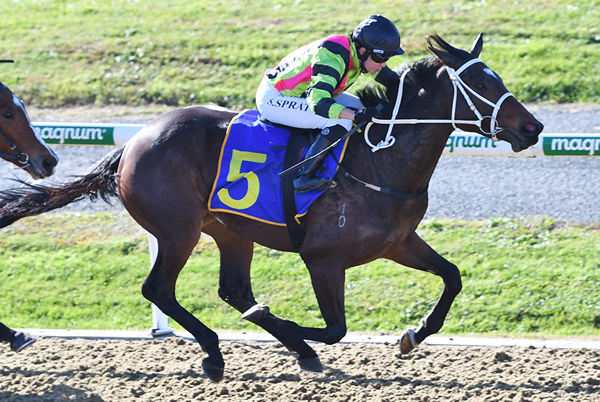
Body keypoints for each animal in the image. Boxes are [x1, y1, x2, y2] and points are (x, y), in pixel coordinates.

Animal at [0, 33, 544, 380]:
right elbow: (335, 329)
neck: (380, 160)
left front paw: (414, 335)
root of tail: (133, 144)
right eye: (483, 85)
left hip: (229, 230)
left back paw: (253, 346)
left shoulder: (398, 242)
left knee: (233, 290)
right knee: (160, 289)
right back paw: (219, 353)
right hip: (178, 232)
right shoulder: (323, 259)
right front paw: (296, 332)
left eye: (498, 79)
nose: (533, 127)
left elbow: (452, 277)